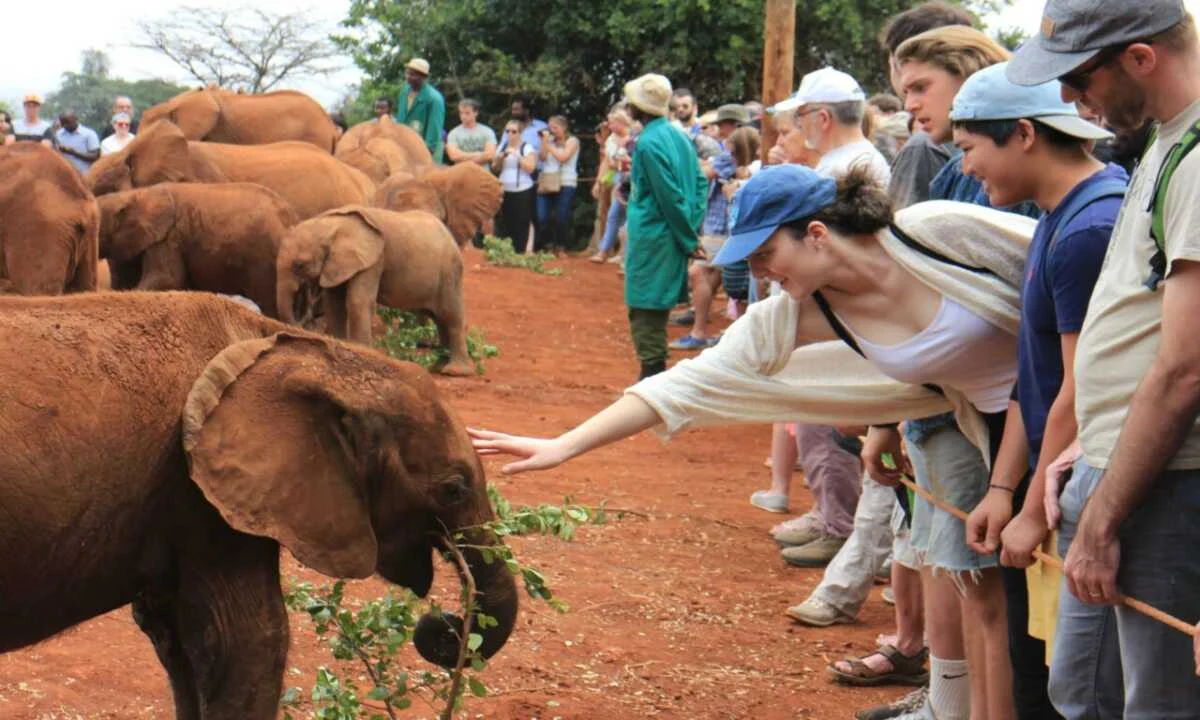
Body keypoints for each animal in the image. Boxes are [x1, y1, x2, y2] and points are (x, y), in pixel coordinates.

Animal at [0, 291, 518, 720]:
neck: (307, 350)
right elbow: (252, 644)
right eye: (453, 489)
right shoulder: (203, 501)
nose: (442, 624)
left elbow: (179, 644)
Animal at [276, 206, 474, 376]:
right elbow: (334, 304)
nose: (299, 326)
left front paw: (361, 351)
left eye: (299, 265)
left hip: (450, 273)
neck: (332, 226)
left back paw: (455, 372)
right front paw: (339, 344)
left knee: (451, 317)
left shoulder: (374, 260)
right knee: (440, 320)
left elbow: (357, 301)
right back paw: (437, 368)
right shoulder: (336, 263)